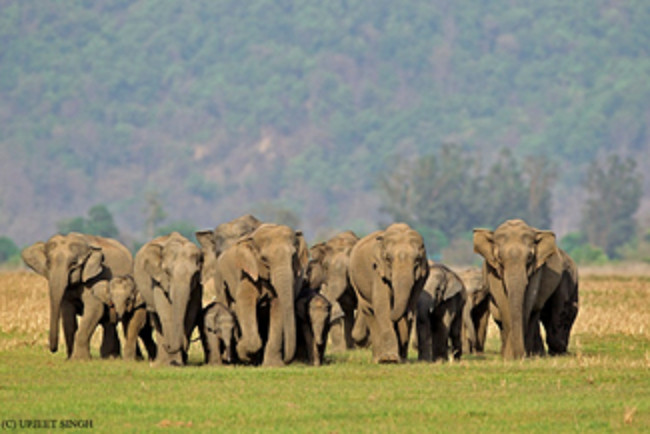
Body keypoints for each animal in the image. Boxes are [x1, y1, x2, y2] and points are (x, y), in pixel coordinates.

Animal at [20, 232, 132, 362]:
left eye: (73, 263)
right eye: (48, 263)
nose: (53, 350)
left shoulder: (96, 277)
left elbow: (95, 309)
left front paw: (80, 359)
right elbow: (68, 315)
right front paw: (70, 359)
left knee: (110, 322)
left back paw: (110, 357)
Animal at [133, 232, 201, 364]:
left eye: (195, 274)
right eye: (168, 272)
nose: (168, 345)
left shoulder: (197, 285)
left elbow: (191, 313)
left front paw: (179, 362)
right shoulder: (157, 280)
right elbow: (166, 312)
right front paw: (172, 363)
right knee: (156, 316)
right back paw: (159, 362)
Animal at [210, 224, 306, 366]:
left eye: (294, 256)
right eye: (264, 259)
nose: (286, 360)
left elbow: (278, 308)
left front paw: (272, 365)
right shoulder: (247, 273)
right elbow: (244, 302)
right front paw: (244, 353)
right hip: (219, 278)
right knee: (225, 301)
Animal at [346, 224, 428, 362]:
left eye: (417, 260)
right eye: (388, 259)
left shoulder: (421, 277)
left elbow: (408, 307)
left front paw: (400, 360)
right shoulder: (377, 272)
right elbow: (382, 306)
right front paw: (389, 359)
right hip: (354, 280)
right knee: (369, 311)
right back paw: (378, 358)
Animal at [470, 220, 576, 360]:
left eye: (530, 257)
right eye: (499, 257)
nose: (519, 355)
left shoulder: (537, 270)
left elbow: (529, 300)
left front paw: (519, 356)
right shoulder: (492, 270)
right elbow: (503, 301)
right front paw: (509, 357)